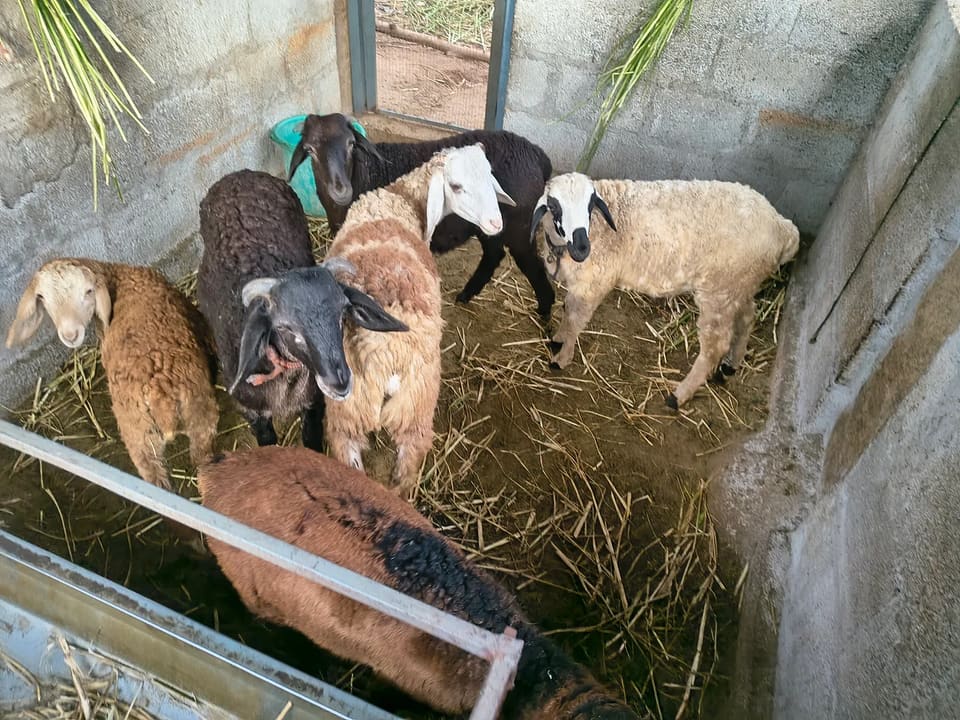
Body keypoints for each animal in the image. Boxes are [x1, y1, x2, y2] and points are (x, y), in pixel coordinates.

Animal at [5, 258, 219, 490]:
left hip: (154, 430)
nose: (70, 335)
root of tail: (160, 394)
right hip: (177, 421)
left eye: (88, 291)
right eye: (43, 298)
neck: (120, 277)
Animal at [197, 169, 406, 452]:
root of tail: (239, 174)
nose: (339, 382)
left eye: (342, 314)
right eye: (285, 327)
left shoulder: (314, 404)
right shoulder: (253, 413)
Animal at [289, 112, 557, 319]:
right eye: (310, 149)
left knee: (530, 263)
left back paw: (545, 312)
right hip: (490, 223)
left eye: (351, 144)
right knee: (494, 254)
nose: (340, 190)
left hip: (519, 227)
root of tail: (539, 156)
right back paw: (466, 294)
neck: (366, 173)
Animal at [297, 143, 514, 498]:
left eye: (489, 175)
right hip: (416, 405)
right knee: (407, 467)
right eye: (456, 186)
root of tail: (383, 353)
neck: (404, 197)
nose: (496, 223)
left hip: (350, 411)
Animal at [533, 172, 799, 409]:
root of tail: (783, 227)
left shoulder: (593, 284)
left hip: (719, 291)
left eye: (590, 206)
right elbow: (568, 310)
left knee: (715, 346)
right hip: (739, 285)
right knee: (747, 317)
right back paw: (730, 365)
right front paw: (558, 338)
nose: (582, 248)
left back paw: (679, 396)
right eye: (554, 206)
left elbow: (576, 321)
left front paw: (562, 357)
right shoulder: (580, 285)